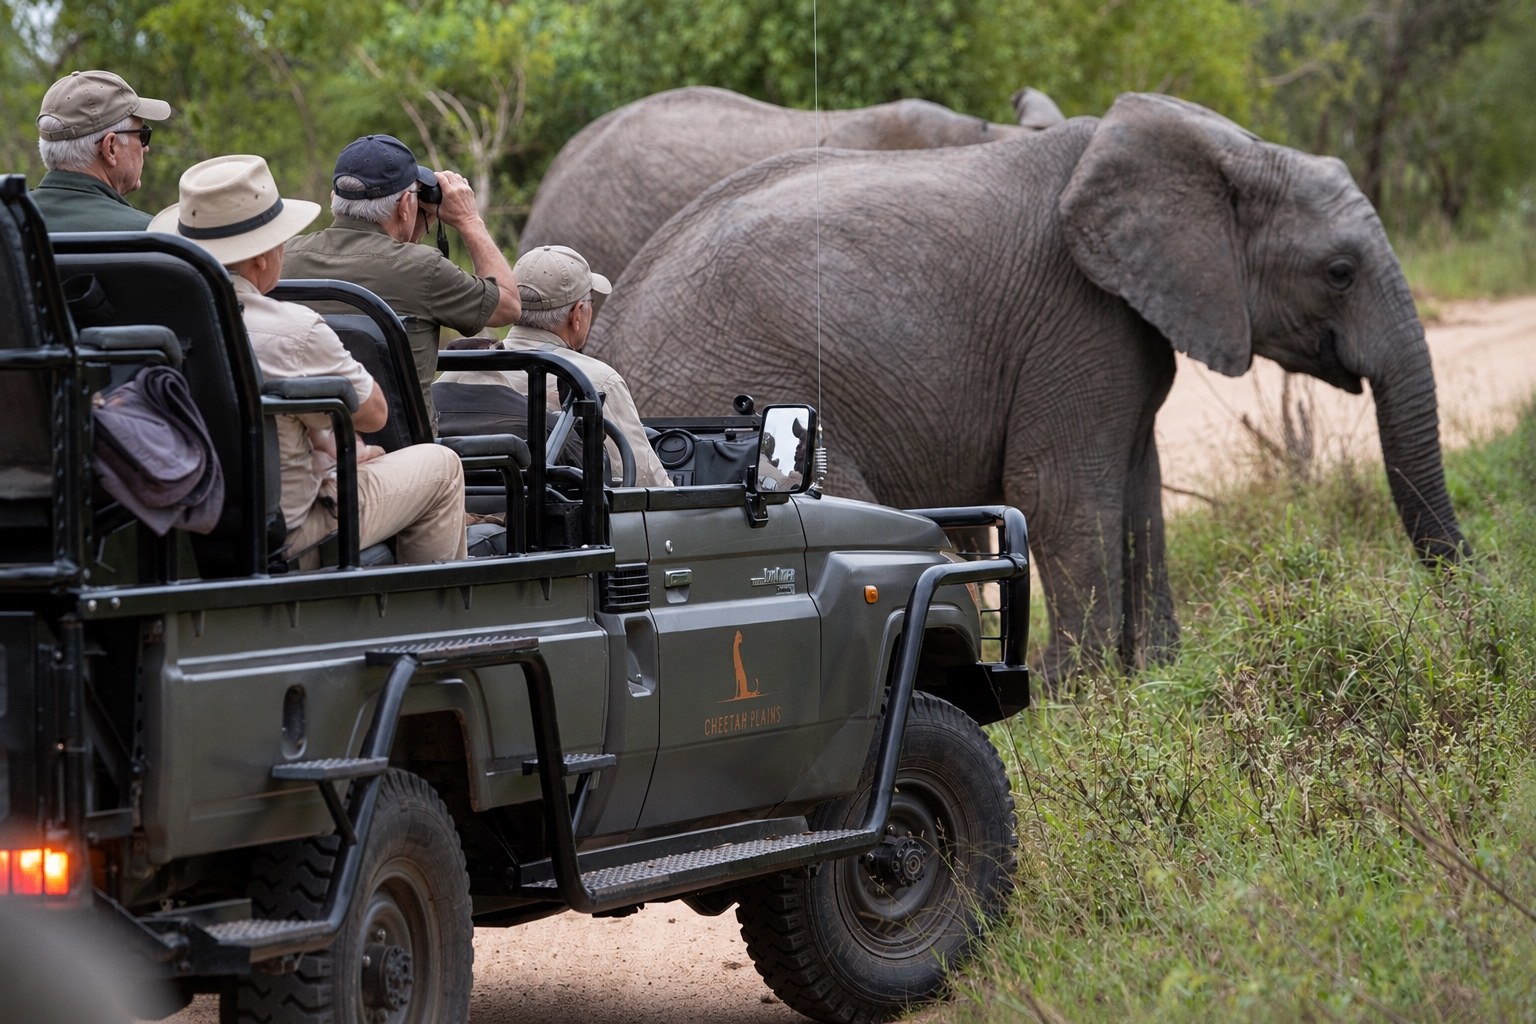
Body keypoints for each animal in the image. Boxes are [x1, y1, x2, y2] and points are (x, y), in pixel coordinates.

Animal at [592, 92, 1468, 684]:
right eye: (1340, 271)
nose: (1465, 597)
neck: (1217, 146)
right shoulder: (1072, 318)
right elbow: (1061, 491)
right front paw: (1075, 691)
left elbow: (1138, 486)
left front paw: (1154, 671)